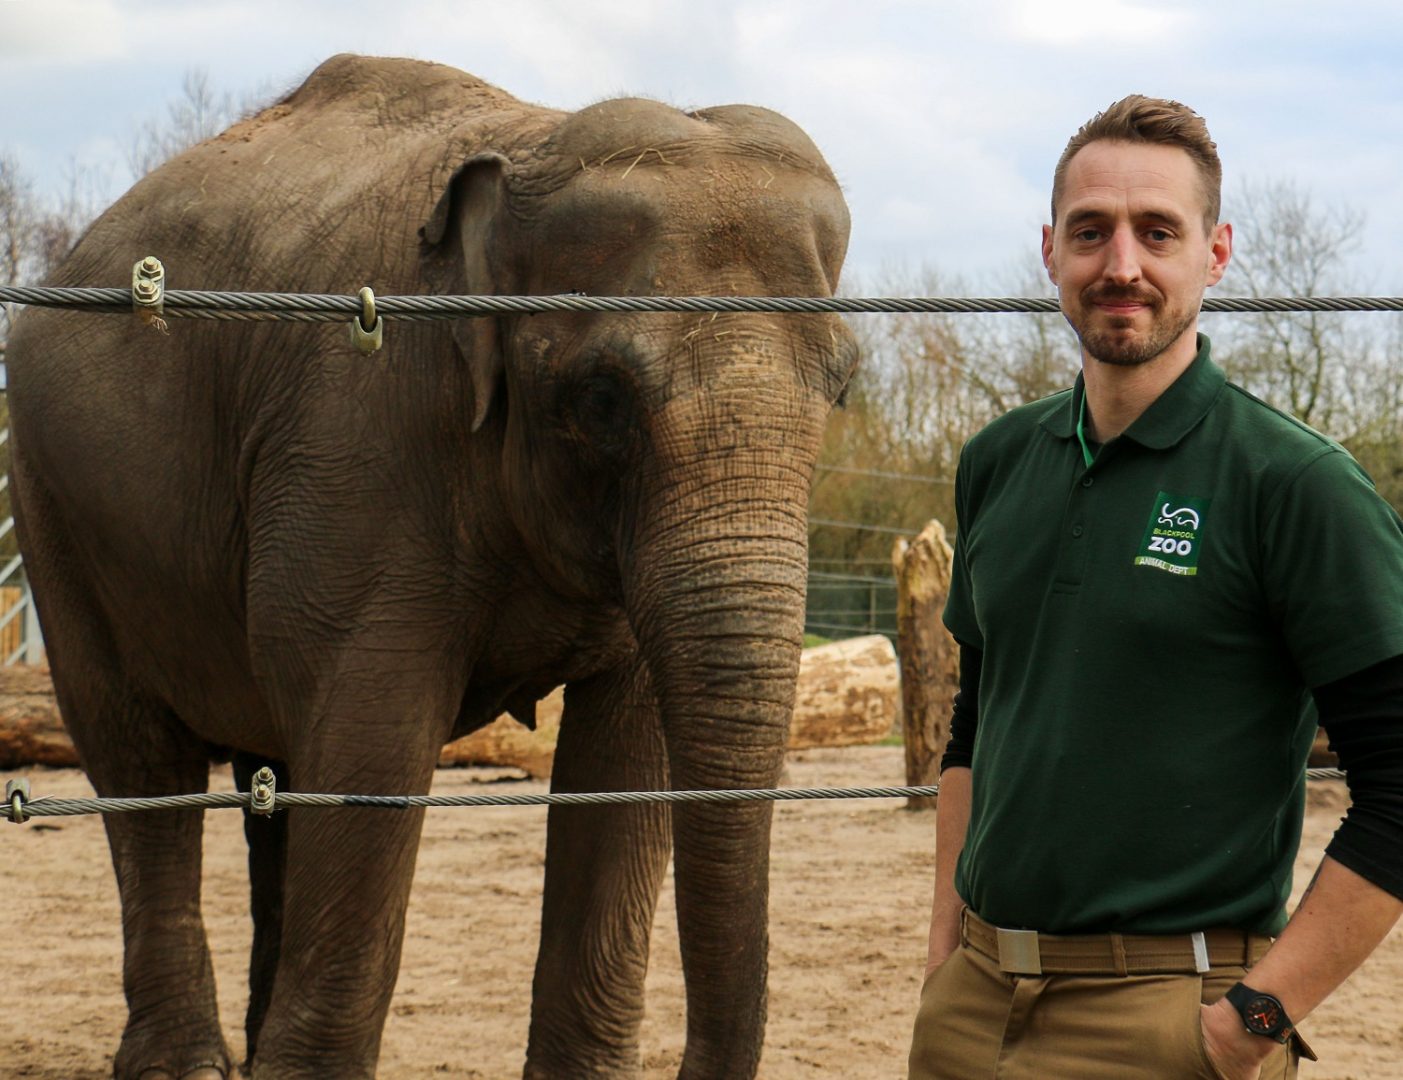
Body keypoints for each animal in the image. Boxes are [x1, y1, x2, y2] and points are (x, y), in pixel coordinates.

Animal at [5, 52, 853, 1077]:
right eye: (602, 397)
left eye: (843, 386)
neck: (529, 142)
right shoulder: (358, 435)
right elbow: (371, 735)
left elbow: (627, 755)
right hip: (52, 501)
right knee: (139, 758)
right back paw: (187, 1064)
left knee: (270, 773)